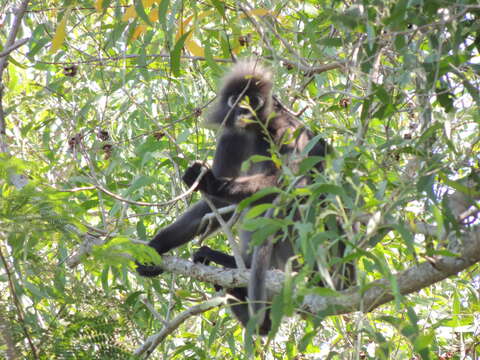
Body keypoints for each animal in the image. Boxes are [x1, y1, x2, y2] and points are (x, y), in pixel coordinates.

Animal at [137, 61, 354, 334]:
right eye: (237, 99)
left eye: (253, 100)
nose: (244, 109)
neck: (254, 131)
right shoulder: (231, 136)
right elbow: (218, 205)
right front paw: (157, 246)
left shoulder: (287, 129)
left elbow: (291, 184)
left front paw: (212, 182)